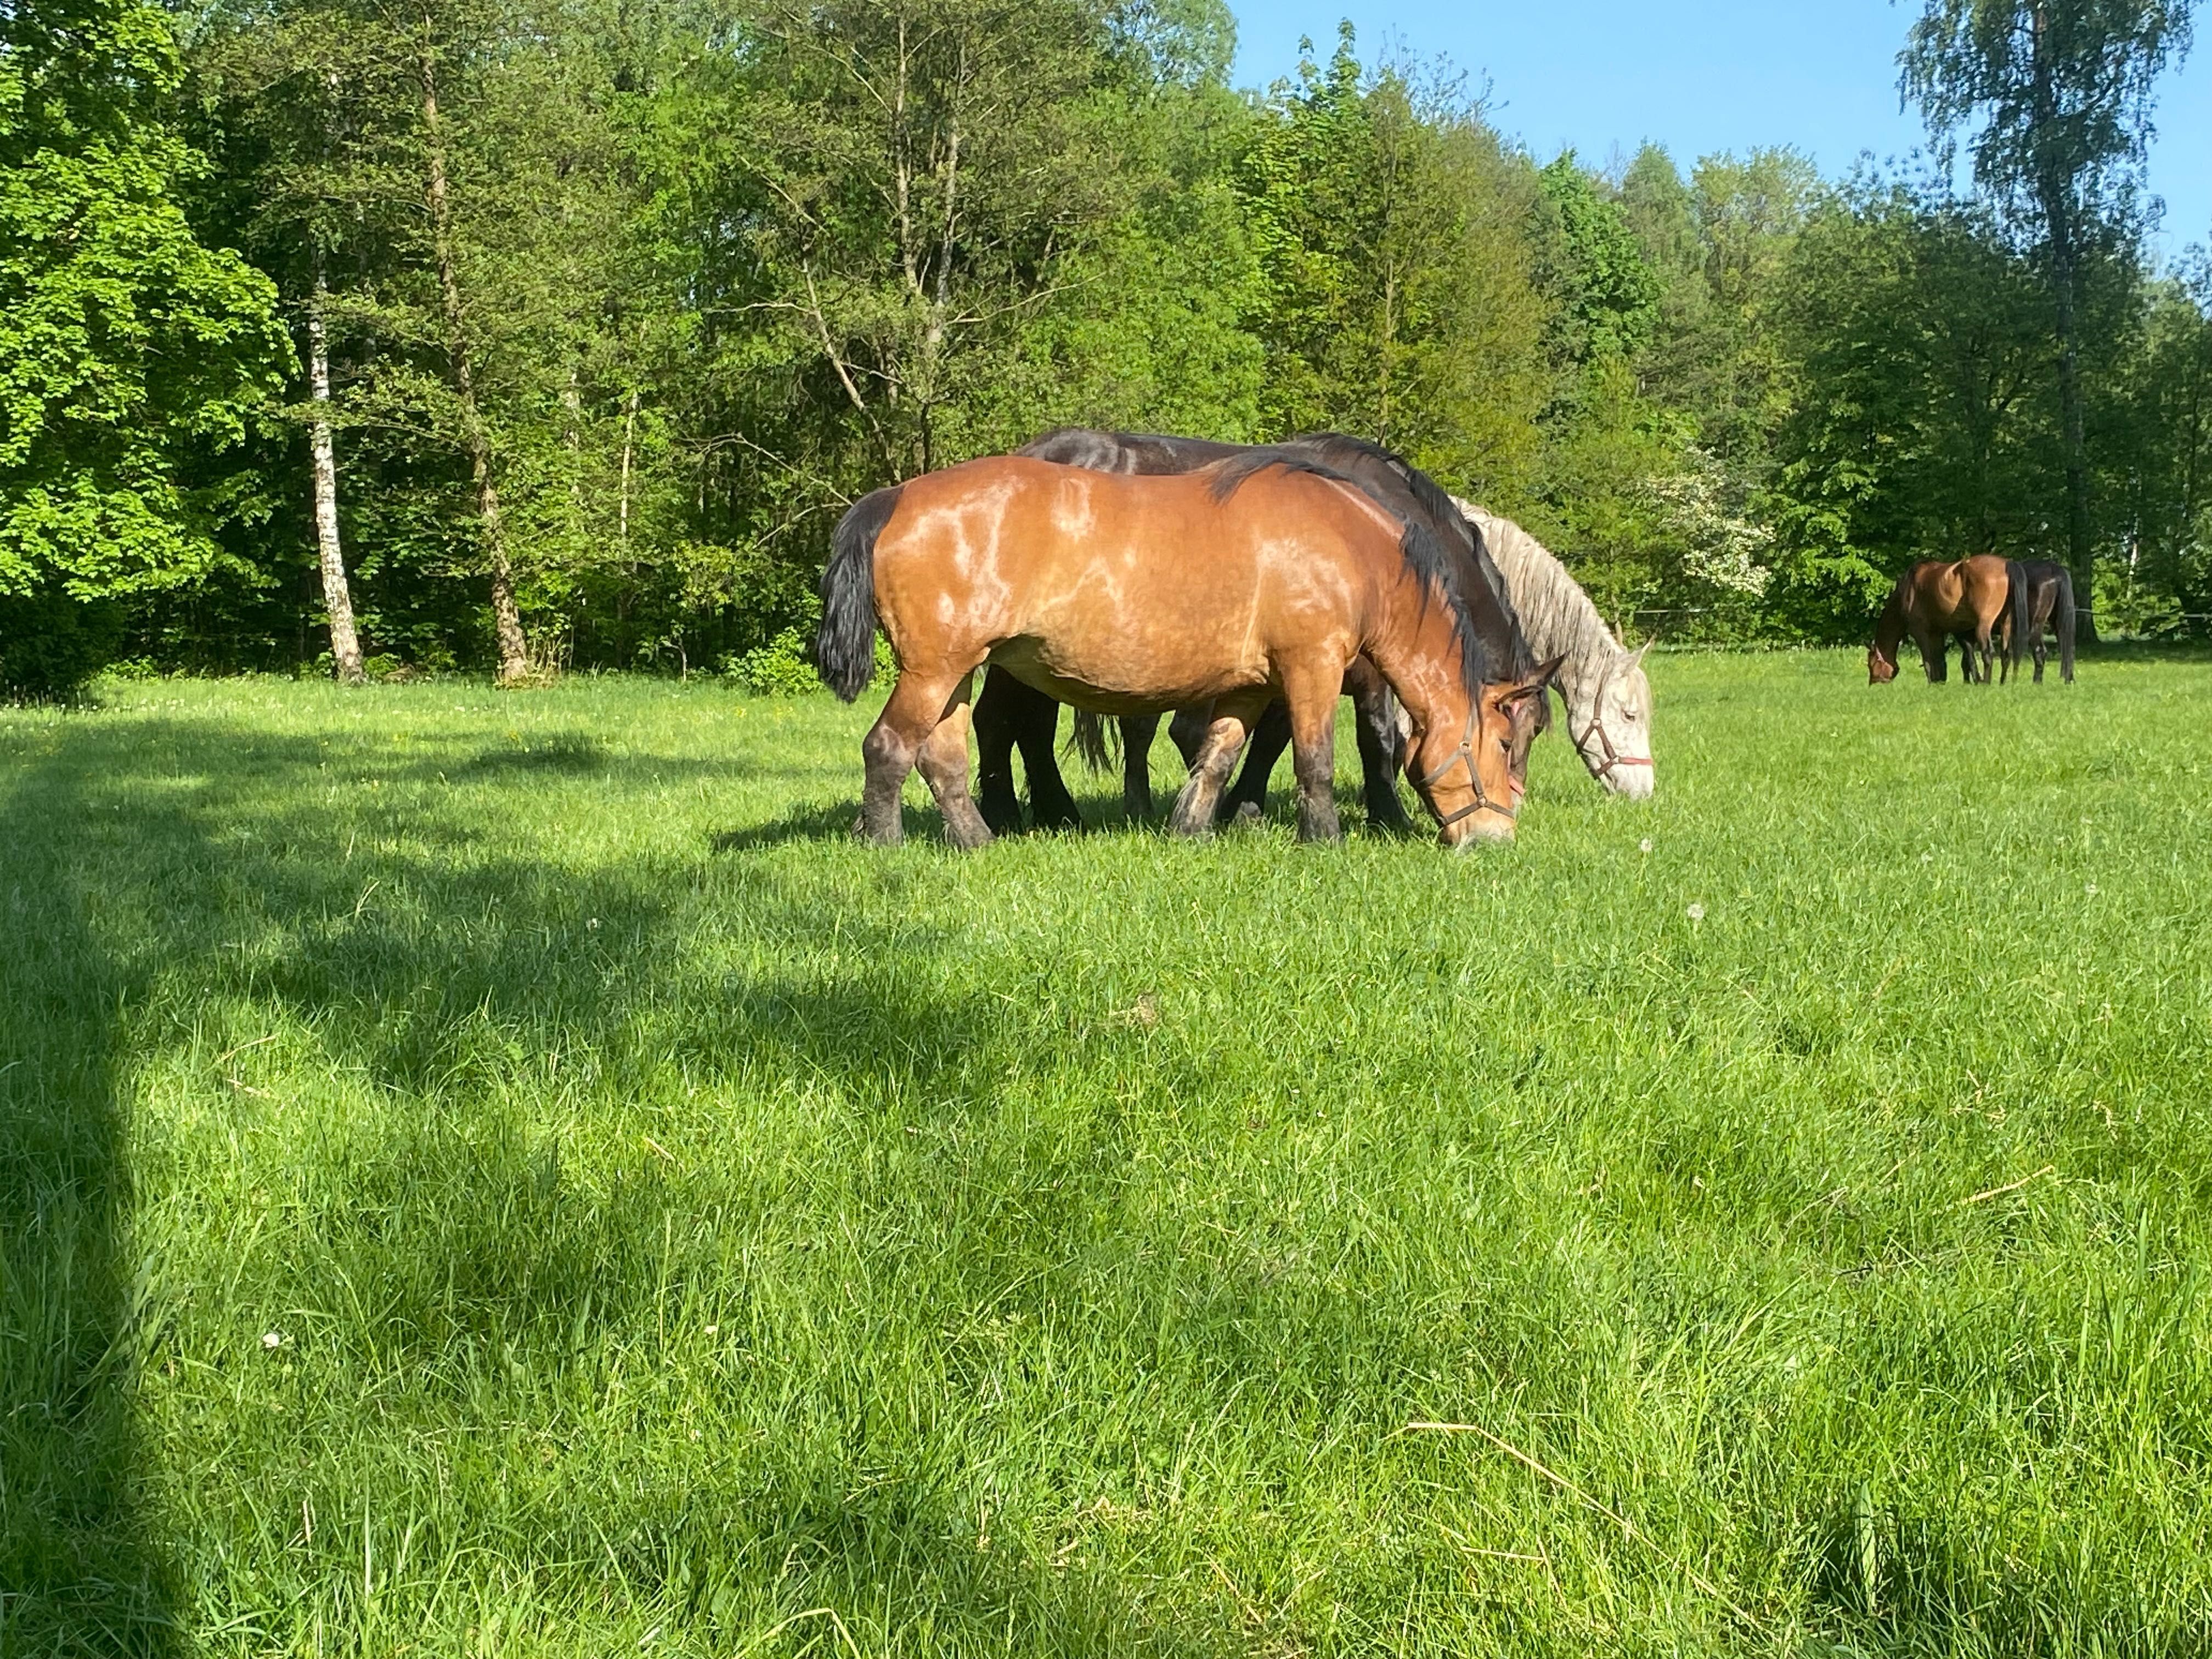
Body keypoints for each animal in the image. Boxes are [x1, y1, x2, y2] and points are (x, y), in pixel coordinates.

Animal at [814, 451, 1557, 849]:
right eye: (1502, 745)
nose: (1496, 839)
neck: (1354, 546)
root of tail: (895, 497)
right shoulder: (1313, 668)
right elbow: (1314, 761)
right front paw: (1323, 838)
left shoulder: (1251, 687)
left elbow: (1219, 757)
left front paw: (1191, 828)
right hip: (935, 672)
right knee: (889, 749)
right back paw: (885, 840)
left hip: (956, 675)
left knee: (942, 759)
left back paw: (977, 839)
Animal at [1867, 560, 2026, 690]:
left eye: (1870, 664)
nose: (1872, 685)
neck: (1906, 592)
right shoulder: (1937, 633)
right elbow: (1940, 659)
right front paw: (1939, 682)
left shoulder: (1921, 633)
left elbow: (1929, 660)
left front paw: (1932, 683)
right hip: (2006, 625)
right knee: (2006, 654)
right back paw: (2002, 683)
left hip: (1984, 627)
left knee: (1988, 653)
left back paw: (1986, 683)